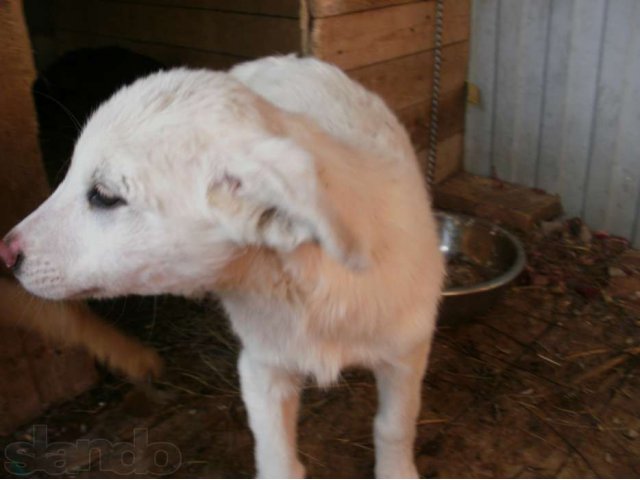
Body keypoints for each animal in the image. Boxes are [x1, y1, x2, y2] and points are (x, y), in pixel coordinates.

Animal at [2, 55, 444, 476]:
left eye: (105, 195)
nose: (6, 253)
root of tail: (286, 58)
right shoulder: (261, 367)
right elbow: (278, 459)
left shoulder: (408, 353)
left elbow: (394, 426)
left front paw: (397, 472)